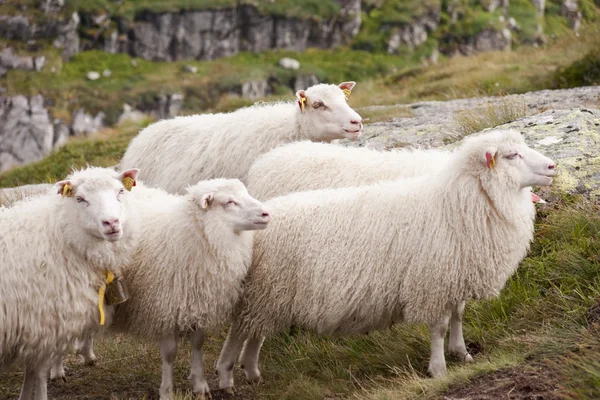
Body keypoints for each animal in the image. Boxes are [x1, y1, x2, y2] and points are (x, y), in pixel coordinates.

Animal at [0, 166, 141, 400]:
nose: (111, 223)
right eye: (80, 199)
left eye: (120, 191)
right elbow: (38, 372)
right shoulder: (42, 322)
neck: (62, 236)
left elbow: (31, 370)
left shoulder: (35, 327)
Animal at [51, 179, 272, 400]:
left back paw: (85, 354)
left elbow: (198, 343)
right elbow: (170, 353)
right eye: (229, 202)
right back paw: (56, 370)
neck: (199, 233)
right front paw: (167, 391)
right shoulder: (165, 306)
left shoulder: (198, 302)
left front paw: (200, 385)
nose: (266, 214)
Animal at [213, 128, 556, 390]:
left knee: (254, 330)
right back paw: (228, 373)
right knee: (241, 329)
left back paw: (251, 370)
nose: (552, 167)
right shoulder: (432, 280)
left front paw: (461, 353)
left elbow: (458, 315)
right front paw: (438, 368)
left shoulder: (455, 273)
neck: (459, 202)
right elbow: (439, 327)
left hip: (270, 293)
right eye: (511, 156)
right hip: (263, 289)